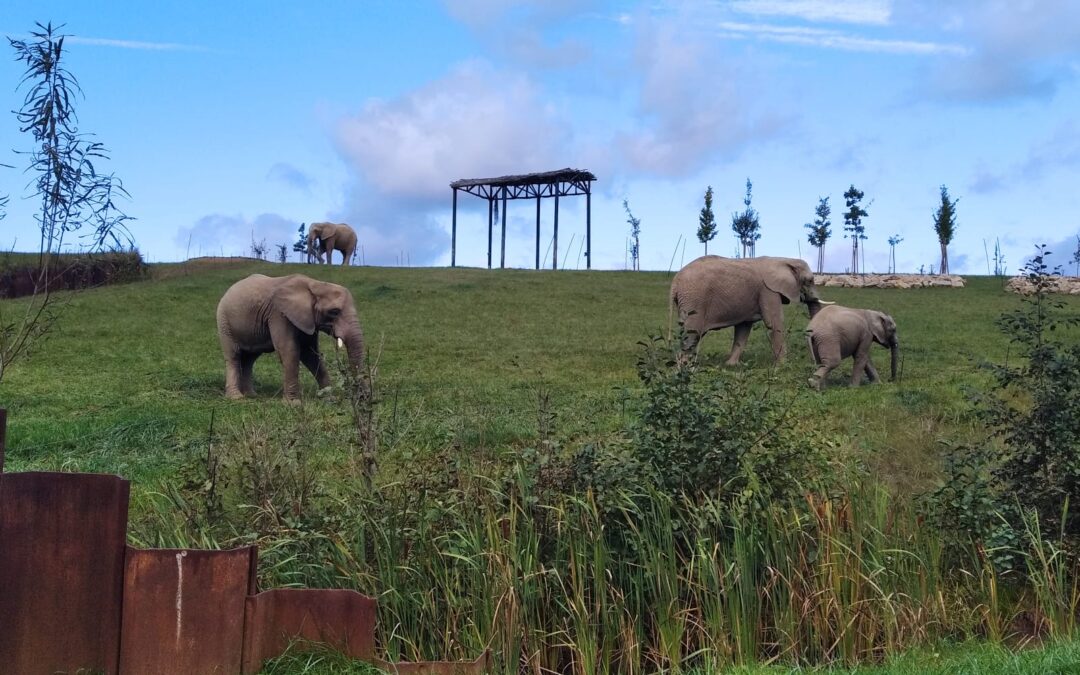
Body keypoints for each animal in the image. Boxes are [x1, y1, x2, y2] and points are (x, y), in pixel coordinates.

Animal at [216, 272, 367, 399]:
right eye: (334, 312)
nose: (361, 397)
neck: (315, 284)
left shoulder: (306, 319)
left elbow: (310, 353)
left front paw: (329, 398)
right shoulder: (278, 314)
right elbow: (289, 350)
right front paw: (293, 403)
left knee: (249, 359)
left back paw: (252, 395)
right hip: (224, 322)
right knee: (233, 356)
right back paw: (237, 398)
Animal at [669, 253, 829, 362]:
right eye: (810, 280)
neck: (783, 259)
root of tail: (675, 281)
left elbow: (743, 328)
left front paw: (730, 364)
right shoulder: (768, 291)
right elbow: (774, 323)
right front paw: (783, 365)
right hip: (694, 300)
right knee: (692, 333)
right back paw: (685, 367)